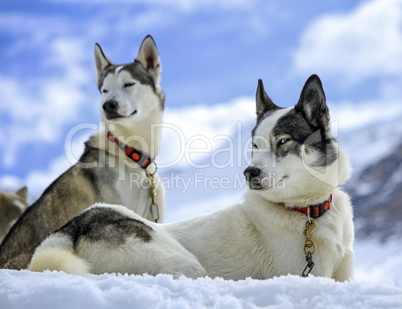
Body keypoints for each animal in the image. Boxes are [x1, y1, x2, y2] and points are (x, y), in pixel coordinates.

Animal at [29, 75, 354, 282]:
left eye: (284, 141)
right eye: (255, 145)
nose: (249, 172)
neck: (307, 213)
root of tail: (73, 227)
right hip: (184, 263)